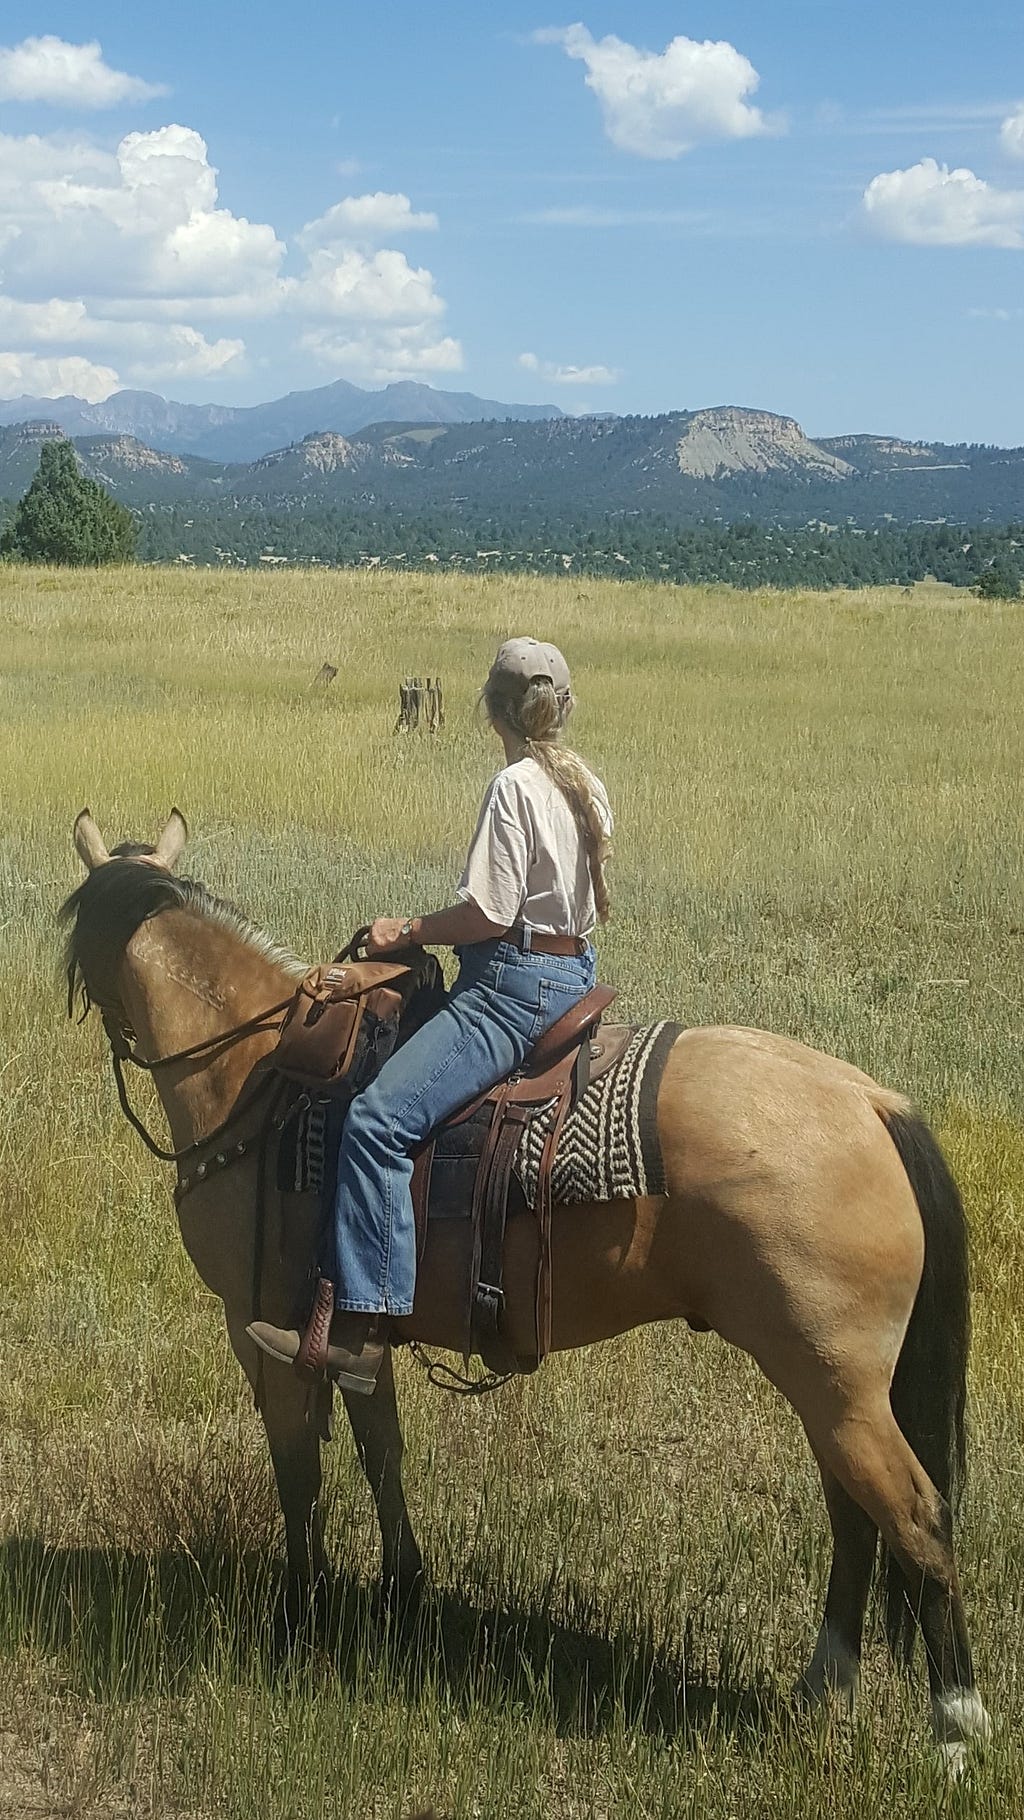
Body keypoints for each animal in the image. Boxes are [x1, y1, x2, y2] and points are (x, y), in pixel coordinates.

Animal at [64, 808, 996, 1761]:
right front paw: (402, 1593)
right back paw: (825, 1686)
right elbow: (379, 1451)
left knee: (915, 1518)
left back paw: (955, 1728)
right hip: (831, 1388)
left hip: (837, 1386)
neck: (256, 1070)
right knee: (855, 1518)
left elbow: (300, 1474)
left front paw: (296, 1621)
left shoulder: (260, 1329)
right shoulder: (355, 1328)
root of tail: (870, 1102)